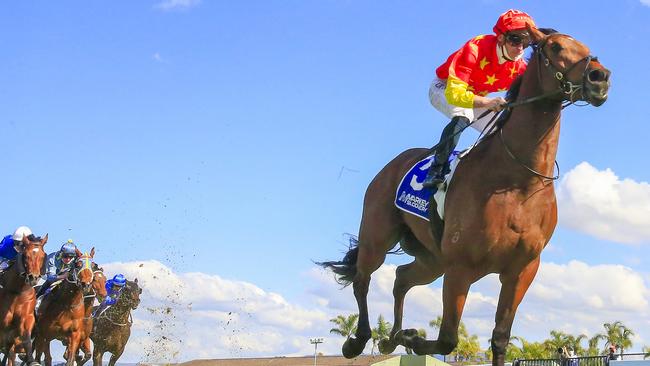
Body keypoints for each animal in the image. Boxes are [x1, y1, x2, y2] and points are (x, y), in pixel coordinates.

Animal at [0, 233, 46, 366]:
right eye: (26, 255)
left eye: (42, 256)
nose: (33, 277)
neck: (17, 291)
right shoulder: (4, 324)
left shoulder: (26, 318)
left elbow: (26, 339)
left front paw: (32, 361)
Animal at [318, 25, 608, 366]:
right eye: (556, 47)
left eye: (586, 47)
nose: (600, 77)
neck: (519, 181)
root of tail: (391, 166)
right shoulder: (461, 267)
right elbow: (447, 339)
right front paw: (414, 338)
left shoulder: (522, 269)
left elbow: (500, 338)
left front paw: (407, 337)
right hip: (378, 237)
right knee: (363, 279)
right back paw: (360, 340)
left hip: (432, 260)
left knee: (401, 278)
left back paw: (392, 338)